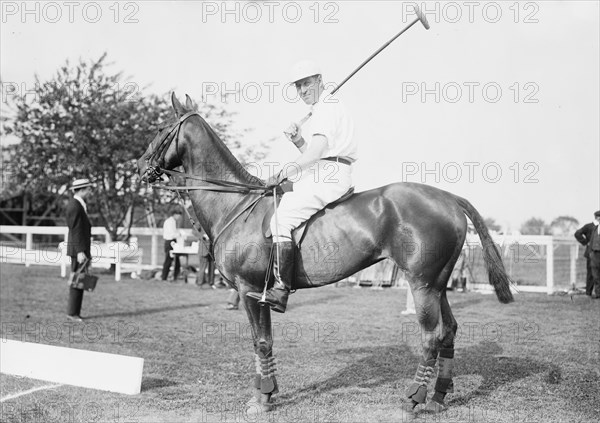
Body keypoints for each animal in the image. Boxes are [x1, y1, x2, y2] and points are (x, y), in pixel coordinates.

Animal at [138, 93, 512, 418]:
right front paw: (268, 393)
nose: (140, 167)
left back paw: (413, 399)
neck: (236, 204)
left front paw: (262, 398)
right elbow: (263, 342)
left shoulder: (249, 290)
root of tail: (450, 198)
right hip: (439, 284)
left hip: (421, 283)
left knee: (431, 336)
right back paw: (437, 398)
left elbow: (261, 342)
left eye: (159, 128)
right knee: (449, 331)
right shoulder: (255, 293)